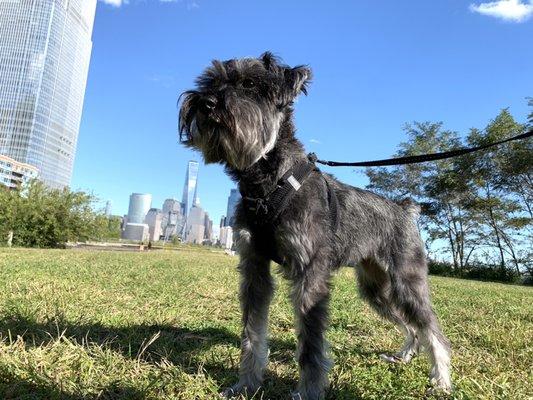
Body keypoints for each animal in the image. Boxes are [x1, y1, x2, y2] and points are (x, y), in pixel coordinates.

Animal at [179, 51, 448, 398]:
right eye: (209, 82)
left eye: (249, 84)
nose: (206, 103)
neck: (269, 182)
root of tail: (404, 209)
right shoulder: (254, 269)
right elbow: (252, 334)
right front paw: (245, 384)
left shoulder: (310, 274)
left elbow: (310, 346)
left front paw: (307, 391)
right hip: (376, 289)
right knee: (410, 324)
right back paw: (404, 355)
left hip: (406, 280)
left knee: (430, 327)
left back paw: (441, 379)